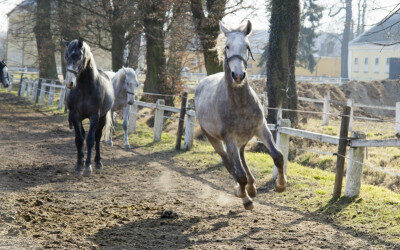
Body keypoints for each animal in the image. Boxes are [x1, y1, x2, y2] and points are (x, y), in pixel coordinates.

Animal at [63, 38, 114, 177]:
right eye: (66, 57)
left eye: (78, 56)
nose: (69, 83)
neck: (85, 89)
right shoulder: (75, 115)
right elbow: (79, 140)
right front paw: (79, 165)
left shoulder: (94, 116)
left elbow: (91, 140)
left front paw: (88, 167)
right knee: (82, 135)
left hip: (102, 118)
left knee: (97, 137)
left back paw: (98, 162)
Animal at [195, 20, 286, 210]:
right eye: (227, 46)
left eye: (247, 46)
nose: (238, 75)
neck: (240, 104)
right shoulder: (229, 139)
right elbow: (239, 174)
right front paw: (244, 197)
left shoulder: (261, 129)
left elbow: (278, 156)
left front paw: (281, 185)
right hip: (214, 139)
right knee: (230, 164)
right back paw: (244, 192)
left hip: (242, 139)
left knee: (242, 157)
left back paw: (251, 187)